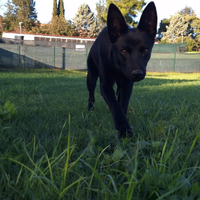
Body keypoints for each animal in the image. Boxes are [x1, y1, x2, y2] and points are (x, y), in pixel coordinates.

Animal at [86, 1, 157, 138]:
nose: (138, 74)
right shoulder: (105, 85)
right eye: (123, 51)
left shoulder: (127, 84)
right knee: (91, 94)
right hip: (91, 76)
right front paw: (124, 129)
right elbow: (115, 105)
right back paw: (90, 110)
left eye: (146, 50)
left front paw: (124, 125)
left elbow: (122, 105)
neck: (117, 65)